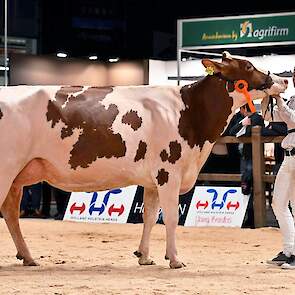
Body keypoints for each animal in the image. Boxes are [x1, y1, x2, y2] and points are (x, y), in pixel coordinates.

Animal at [0, 52, 288, 270]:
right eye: (248, 65)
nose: (284, 80)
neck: (189, 112)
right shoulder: (169, 173)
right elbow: (170, 217)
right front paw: (174, 259)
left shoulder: (153, 180)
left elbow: (150, 216)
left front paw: (145, 256)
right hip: (7, 169)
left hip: (16, 178)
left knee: (11, 213)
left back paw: (28, 257)